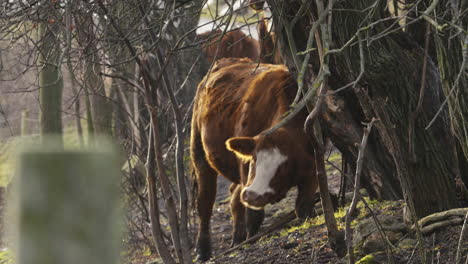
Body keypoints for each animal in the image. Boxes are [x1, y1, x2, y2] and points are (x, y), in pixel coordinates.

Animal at [190, 56, 318, 260]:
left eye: (283, 166)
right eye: (254, 160)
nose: (252, 194)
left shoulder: (312, 169)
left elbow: (303, 206)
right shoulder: (244, 168)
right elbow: (254, 216)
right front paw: (252, 239)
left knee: (234, 196)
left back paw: (237, 238)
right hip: (199, 153)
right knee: (205, 203)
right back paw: (203, 251)